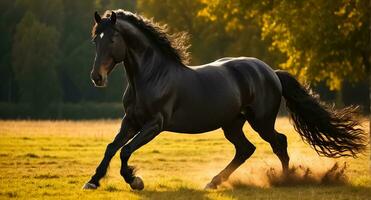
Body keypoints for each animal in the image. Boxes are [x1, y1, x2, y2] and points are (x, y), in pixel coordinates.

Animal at [83, 9, 364, 191]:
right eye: (95, 39)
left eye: (112, 38)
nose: (97, 77)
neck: (152, 76)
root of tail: (271, 72)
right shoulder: (131, 120)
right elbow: (112, 147)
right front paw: (93, 182)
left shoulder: (154, 124)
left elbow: (126, 150)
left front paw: (135, 180)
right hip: (232, 124)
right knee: (245, 149)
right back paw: (213, 182)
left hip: (261, 121)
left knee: (279, 143)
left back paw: (285, 181)